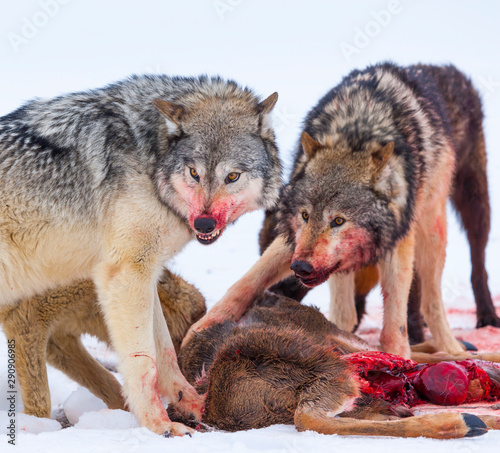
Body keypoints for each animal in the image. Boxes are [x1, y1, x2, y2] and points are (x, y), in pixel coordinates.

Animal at [0, 76, 282, 436]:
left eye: (232, 176)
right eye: (194, 173)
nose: (204, 223)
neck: (152, 159)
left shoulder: (147, 274)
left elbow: (165, 354)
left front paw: (192, 404)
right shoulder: (125, 272)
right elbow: (143, 361)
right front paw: (159, 426)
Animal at [187, 62, 492, 360]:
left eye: (338, 220)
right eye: (305, 216)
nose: (300, 267)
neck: (356, 135)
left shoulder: (397, 242)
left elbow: (395, 320)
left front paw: (398, 356)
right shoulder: (294, 241)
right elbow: (248, 281)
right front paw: (201, 329)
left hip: (446, 222)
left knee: (442, 291)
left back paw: (458, 341)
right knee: (351, 312)